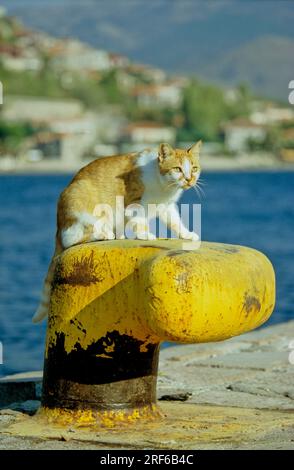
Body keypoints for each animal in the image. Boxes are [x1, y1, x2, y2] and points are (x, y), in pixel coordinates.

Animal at [32, 140, 202, 324]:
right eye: (178, 169)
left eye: (194, 168)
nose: (189, 179)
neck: (163, 186)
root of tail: (58, 225)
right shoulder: (135, 201)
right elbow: (140, 221)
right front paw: (145, 234)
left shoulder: (167, 207)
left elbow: (175, 223)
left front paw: (187, 234)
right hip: (82, 201)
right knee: (71, 238)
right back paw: (103, 234)